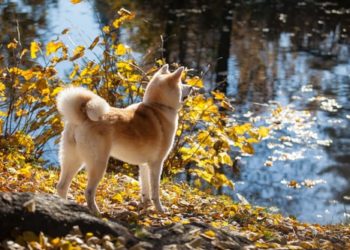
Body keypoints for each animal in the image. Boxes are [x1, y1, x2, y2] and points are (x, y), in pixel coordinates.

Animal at [55, 65, 193, 215]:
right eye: (181, 83)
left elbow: (145, 188)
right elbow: (155, 191)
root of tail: (82, 118)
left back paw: (65, 206)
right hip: (98, 164)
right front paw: (160, 210)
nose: (192, 87)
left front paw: (145, 205)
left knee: (62, 186)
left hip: (73, 159)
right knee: (89, 192)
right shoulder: (156, 164)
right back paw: (97, 213)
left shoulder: (144, 165)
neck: (158, 106)